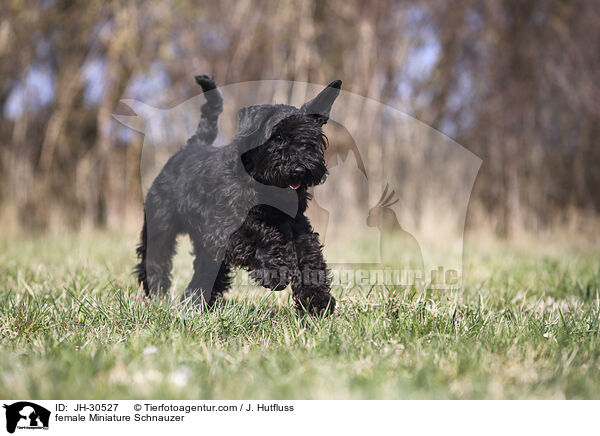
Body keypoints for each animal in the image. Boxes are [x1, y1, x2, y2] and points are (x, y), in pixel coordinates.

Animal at [136, 75, 342, 314]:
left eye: (311, 138)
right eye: (278, 137)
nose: (300, 168)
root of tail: (189, 147)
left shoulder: (299, 228)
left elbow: (310, 257)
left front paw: (316, 301)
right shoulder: (222, 227)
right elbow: (258, 234)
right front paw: (275, 270)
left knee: (205, 270)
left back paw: (195, 302)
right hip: (161, 225)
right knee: (155, 258)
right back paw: (158, 293)